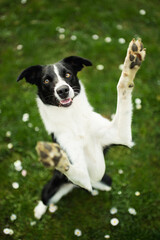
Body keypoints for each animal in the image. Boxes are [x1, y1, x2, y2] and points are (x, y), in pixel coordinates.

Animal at [16, 38, 146, 218]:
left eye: (68, 74)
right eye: (46, 81)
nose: (63, 90)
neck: (73, 119)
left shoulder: (120, 137)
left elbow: (122, 90)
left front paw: (131, 63)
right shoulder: (83, 172)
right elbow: (68, 165)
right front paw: (52, 156)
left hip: (105, 180)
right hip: (55, 183)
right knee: (45, 197)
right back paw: (39, 211)